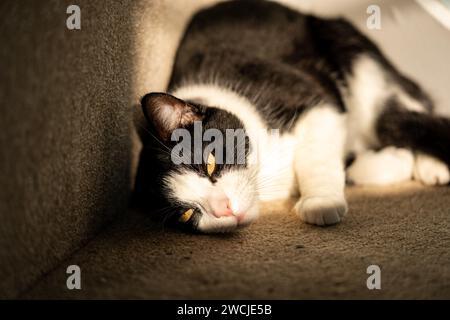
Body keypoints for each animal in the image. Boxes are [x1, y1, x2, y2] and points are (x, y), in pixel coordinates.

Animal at [134, 1, 450, 234]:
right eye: (187, 214)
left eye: (210, 164)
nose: (224, 209)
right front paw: (395, 160)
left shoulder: (309, 95)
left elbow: (316, 155)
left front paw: (321, 203)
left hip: (354, 55)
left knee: (403, 112)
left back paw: (431, 163)